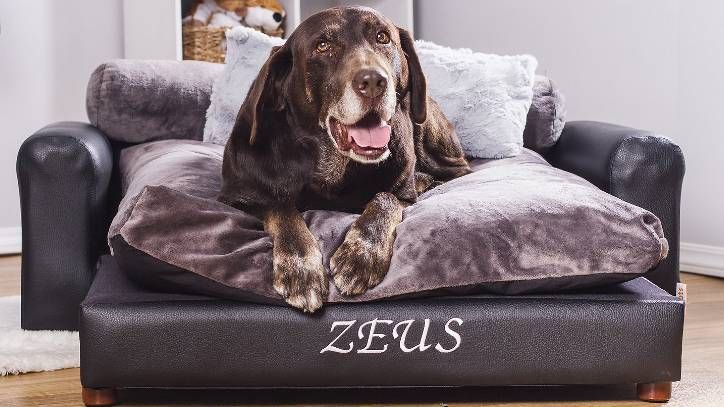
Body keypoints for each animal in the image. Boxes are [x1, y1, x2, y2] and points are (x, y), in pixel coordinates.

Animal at [219, 5, 470, 312]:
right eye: (322, 46)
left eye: (382, 37)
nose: (374, 82)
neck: (329, 164)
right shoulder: (239, 199)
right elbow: (281, 207)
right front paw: (300, 267)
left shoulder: (402, 193)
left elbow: (384, 199)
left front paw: (362, 254)